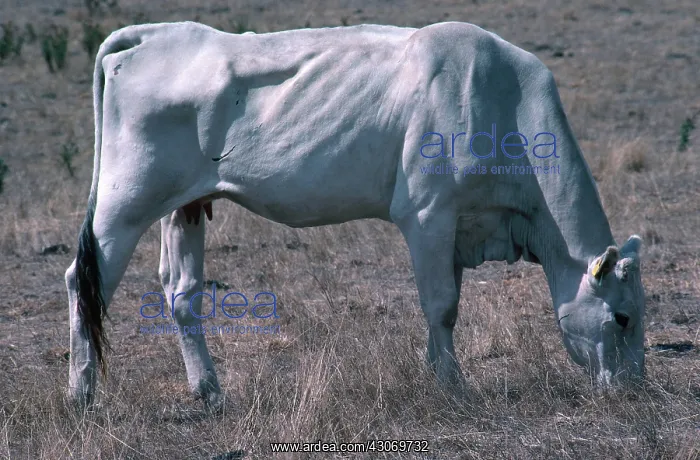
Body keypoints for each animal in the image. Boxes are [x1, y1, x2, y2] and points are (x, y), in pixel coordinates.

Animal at [65, 21, 646, 410]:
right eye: (622, 317)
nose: (636, 388)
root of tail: (154, 34)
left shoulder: (459, 228)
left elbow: (446, 303)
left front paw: (436, 372)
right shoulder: (427, 214)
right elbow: (443, 305)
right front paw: (453, 386)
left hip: (183, 206)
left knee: (181, 293)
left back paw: (210, 393)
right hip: (123, 204)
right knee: (84, 282)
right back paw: (80, 395)